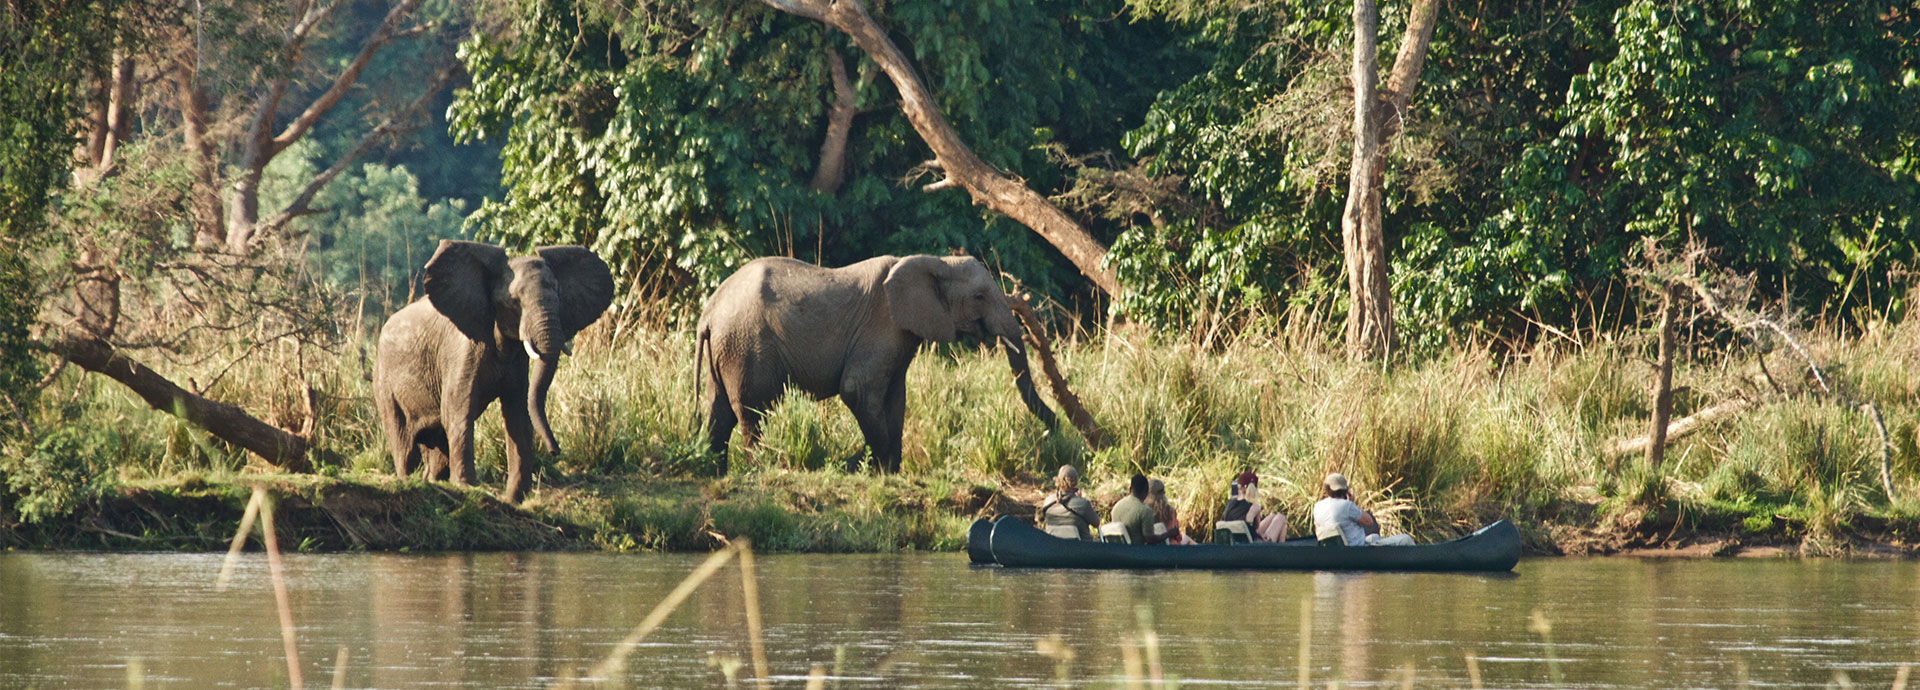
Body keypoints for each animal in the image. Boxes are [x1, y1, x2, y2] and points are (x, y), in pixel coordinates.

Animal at [373, 240, 613, 503]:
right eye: (514, 302)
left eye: (559, 297)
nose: (555, 451)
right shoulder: (462, 349)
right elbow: (457, 410)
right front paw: (469, 488)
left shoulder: (516, 360)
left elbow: (518, 414)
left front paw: (515, 499)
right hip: (383, 381)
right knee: (404, 443)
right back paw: (409, 479)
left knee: (437, 449)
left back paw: (434, 483)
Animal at [696, 254, 1058, 474]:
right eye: (980, 297)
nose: (1054, 425)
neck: (938, 261)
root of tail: (709, 311)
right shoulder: (882, 326)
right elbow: (857, 391)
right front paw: (877, 467)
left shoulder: (902, 335)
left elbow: (896, 398)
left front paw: (889, 472)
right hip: (747, 344)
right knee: (752, 410)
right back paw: (759, 468)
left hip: (728, 347)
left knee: (719, 409)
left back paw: (715, 473)